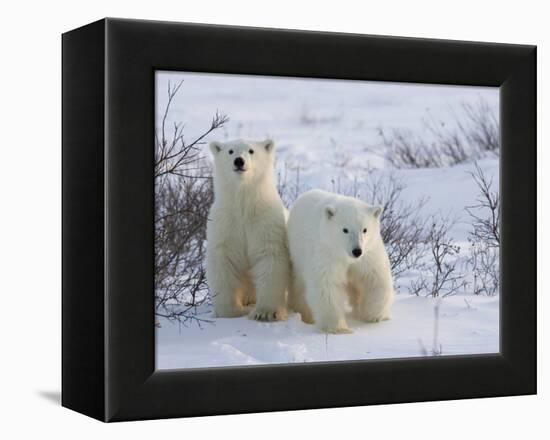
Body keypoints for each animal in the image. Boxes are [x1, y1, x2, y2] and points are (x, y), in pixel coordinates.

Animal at [207, 139, 292, 322]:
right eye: (230, 151)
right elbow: (223, 261)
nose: (239, 161)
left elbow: (270, 257)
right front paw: (230, 311)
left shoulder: (265, 222)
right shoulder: (225, 223)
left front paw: (265, 313)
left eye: (251, 151)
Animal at [286, 190, 394, 334]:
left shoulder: (368, 253)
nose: (357, 251)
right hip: (298, 253)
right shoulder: (327, 253)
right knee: (299, 286)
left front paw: (373, 315)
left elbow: (375, 278)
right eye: (345, 230)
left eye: (365, 229)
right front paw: (338, 328)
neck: (345, 255)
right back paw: (304, 313)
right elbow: (327, 285)